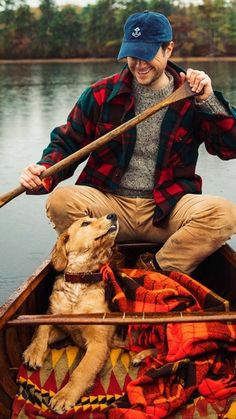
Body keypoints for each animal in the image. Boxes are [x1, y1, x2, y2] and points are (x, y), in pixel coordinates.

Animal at [23, 213, 119, 414]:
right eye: (85, 223)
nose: (113, 215)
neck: (79, 282)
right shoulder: (63, 326)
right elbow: (41, 328)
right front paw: (34, 351)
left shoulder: (98, 344)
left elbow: (81, 372)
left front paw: (65, 395)